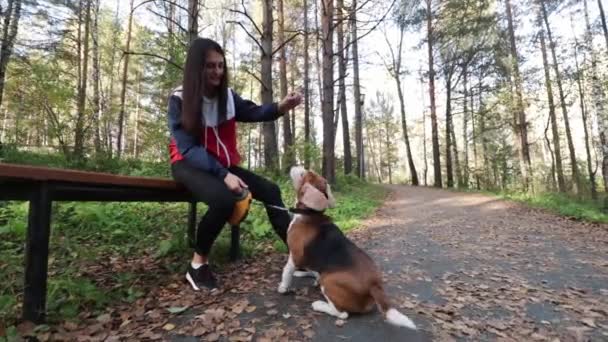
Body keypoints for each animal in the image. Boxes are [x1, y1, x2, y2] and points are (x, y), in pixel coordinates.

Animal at [278, 166, 416, 328]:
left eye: (303, 174)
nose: (297, 166)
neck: (310, 213)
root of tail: (374, 285)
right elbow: (311, 270)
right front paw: (304, 274)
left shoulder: (295, 254)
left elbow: (286, 270)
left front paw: (283, 287)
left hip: (329, 281)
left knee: (342, 313)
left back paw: (319, 305)